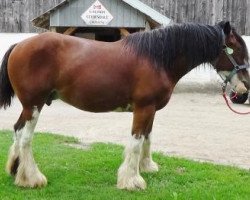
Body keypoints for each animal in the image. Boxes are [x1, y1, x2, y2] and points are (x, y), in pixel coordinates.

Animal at [0, 21, 249, 190]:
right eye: (236, 49)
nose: (244, 89)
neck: (157, 59)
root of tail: (19, 45)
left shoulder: (150, 110)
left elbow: (148, 138)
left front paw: (146, 167)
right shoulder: (143, 108)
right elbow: (137, 142)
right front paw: (132, 180)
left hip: (29, 107)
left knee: (17, 130)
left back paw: (15, 170)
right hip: (34, 105)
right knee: (25, 137)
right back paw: (31, 178)